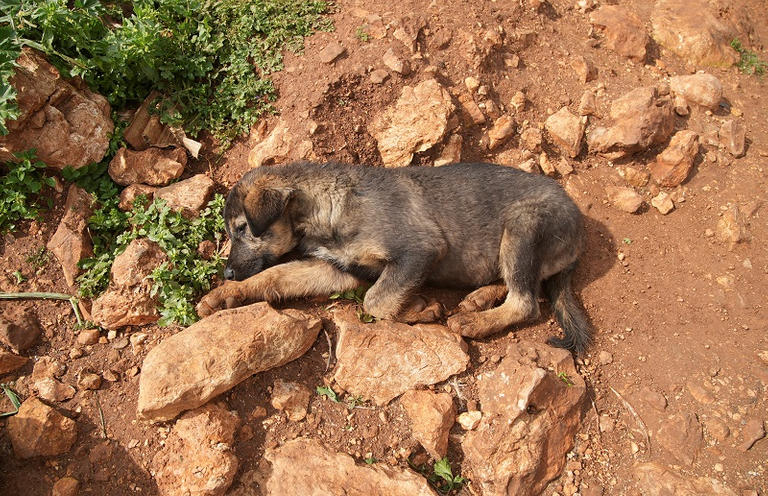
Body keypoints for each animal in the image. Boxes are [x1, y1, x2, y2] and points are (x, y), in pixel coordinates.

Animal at [195, 163, 592, 352]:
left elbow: (376, 300)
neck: (330, 207)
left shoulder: (419, 250)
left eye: (243, 228)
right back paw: (478, 299)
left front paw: (419, 310)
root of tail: (579, 229)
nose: (227, 273)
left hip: (522, 227)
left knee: (525, 300)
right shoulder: (341, 269)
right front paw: (224, 296)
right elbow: (273, 277)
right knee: (515, 285)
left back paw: (474, 322)